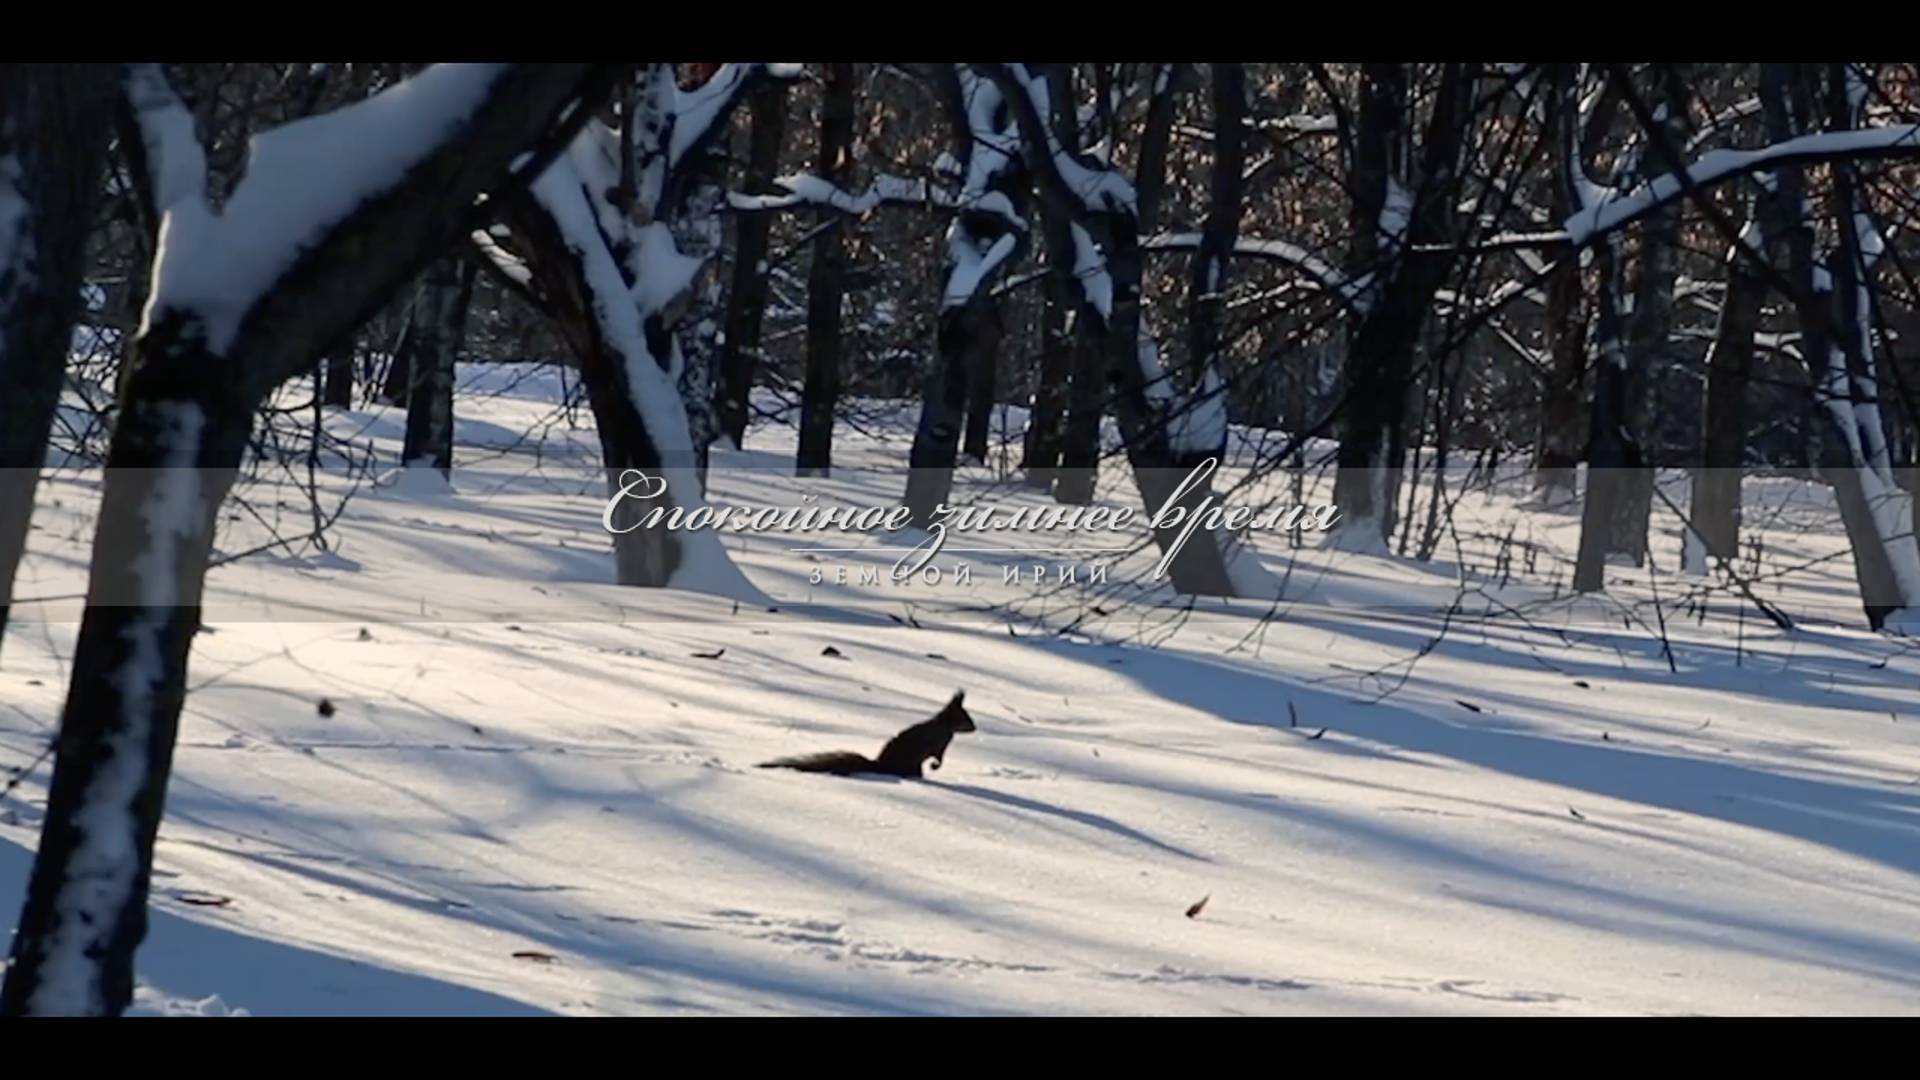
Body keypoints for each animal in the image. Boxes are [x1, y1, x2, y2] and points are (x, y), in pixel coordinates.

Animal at [760, 687, 975, 772]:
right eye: (965, 717)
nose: (974, 728)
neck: (944, 725)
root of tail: (881, 765)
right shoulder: (940, 743)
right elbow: (938, 755)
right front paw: (935, 765)